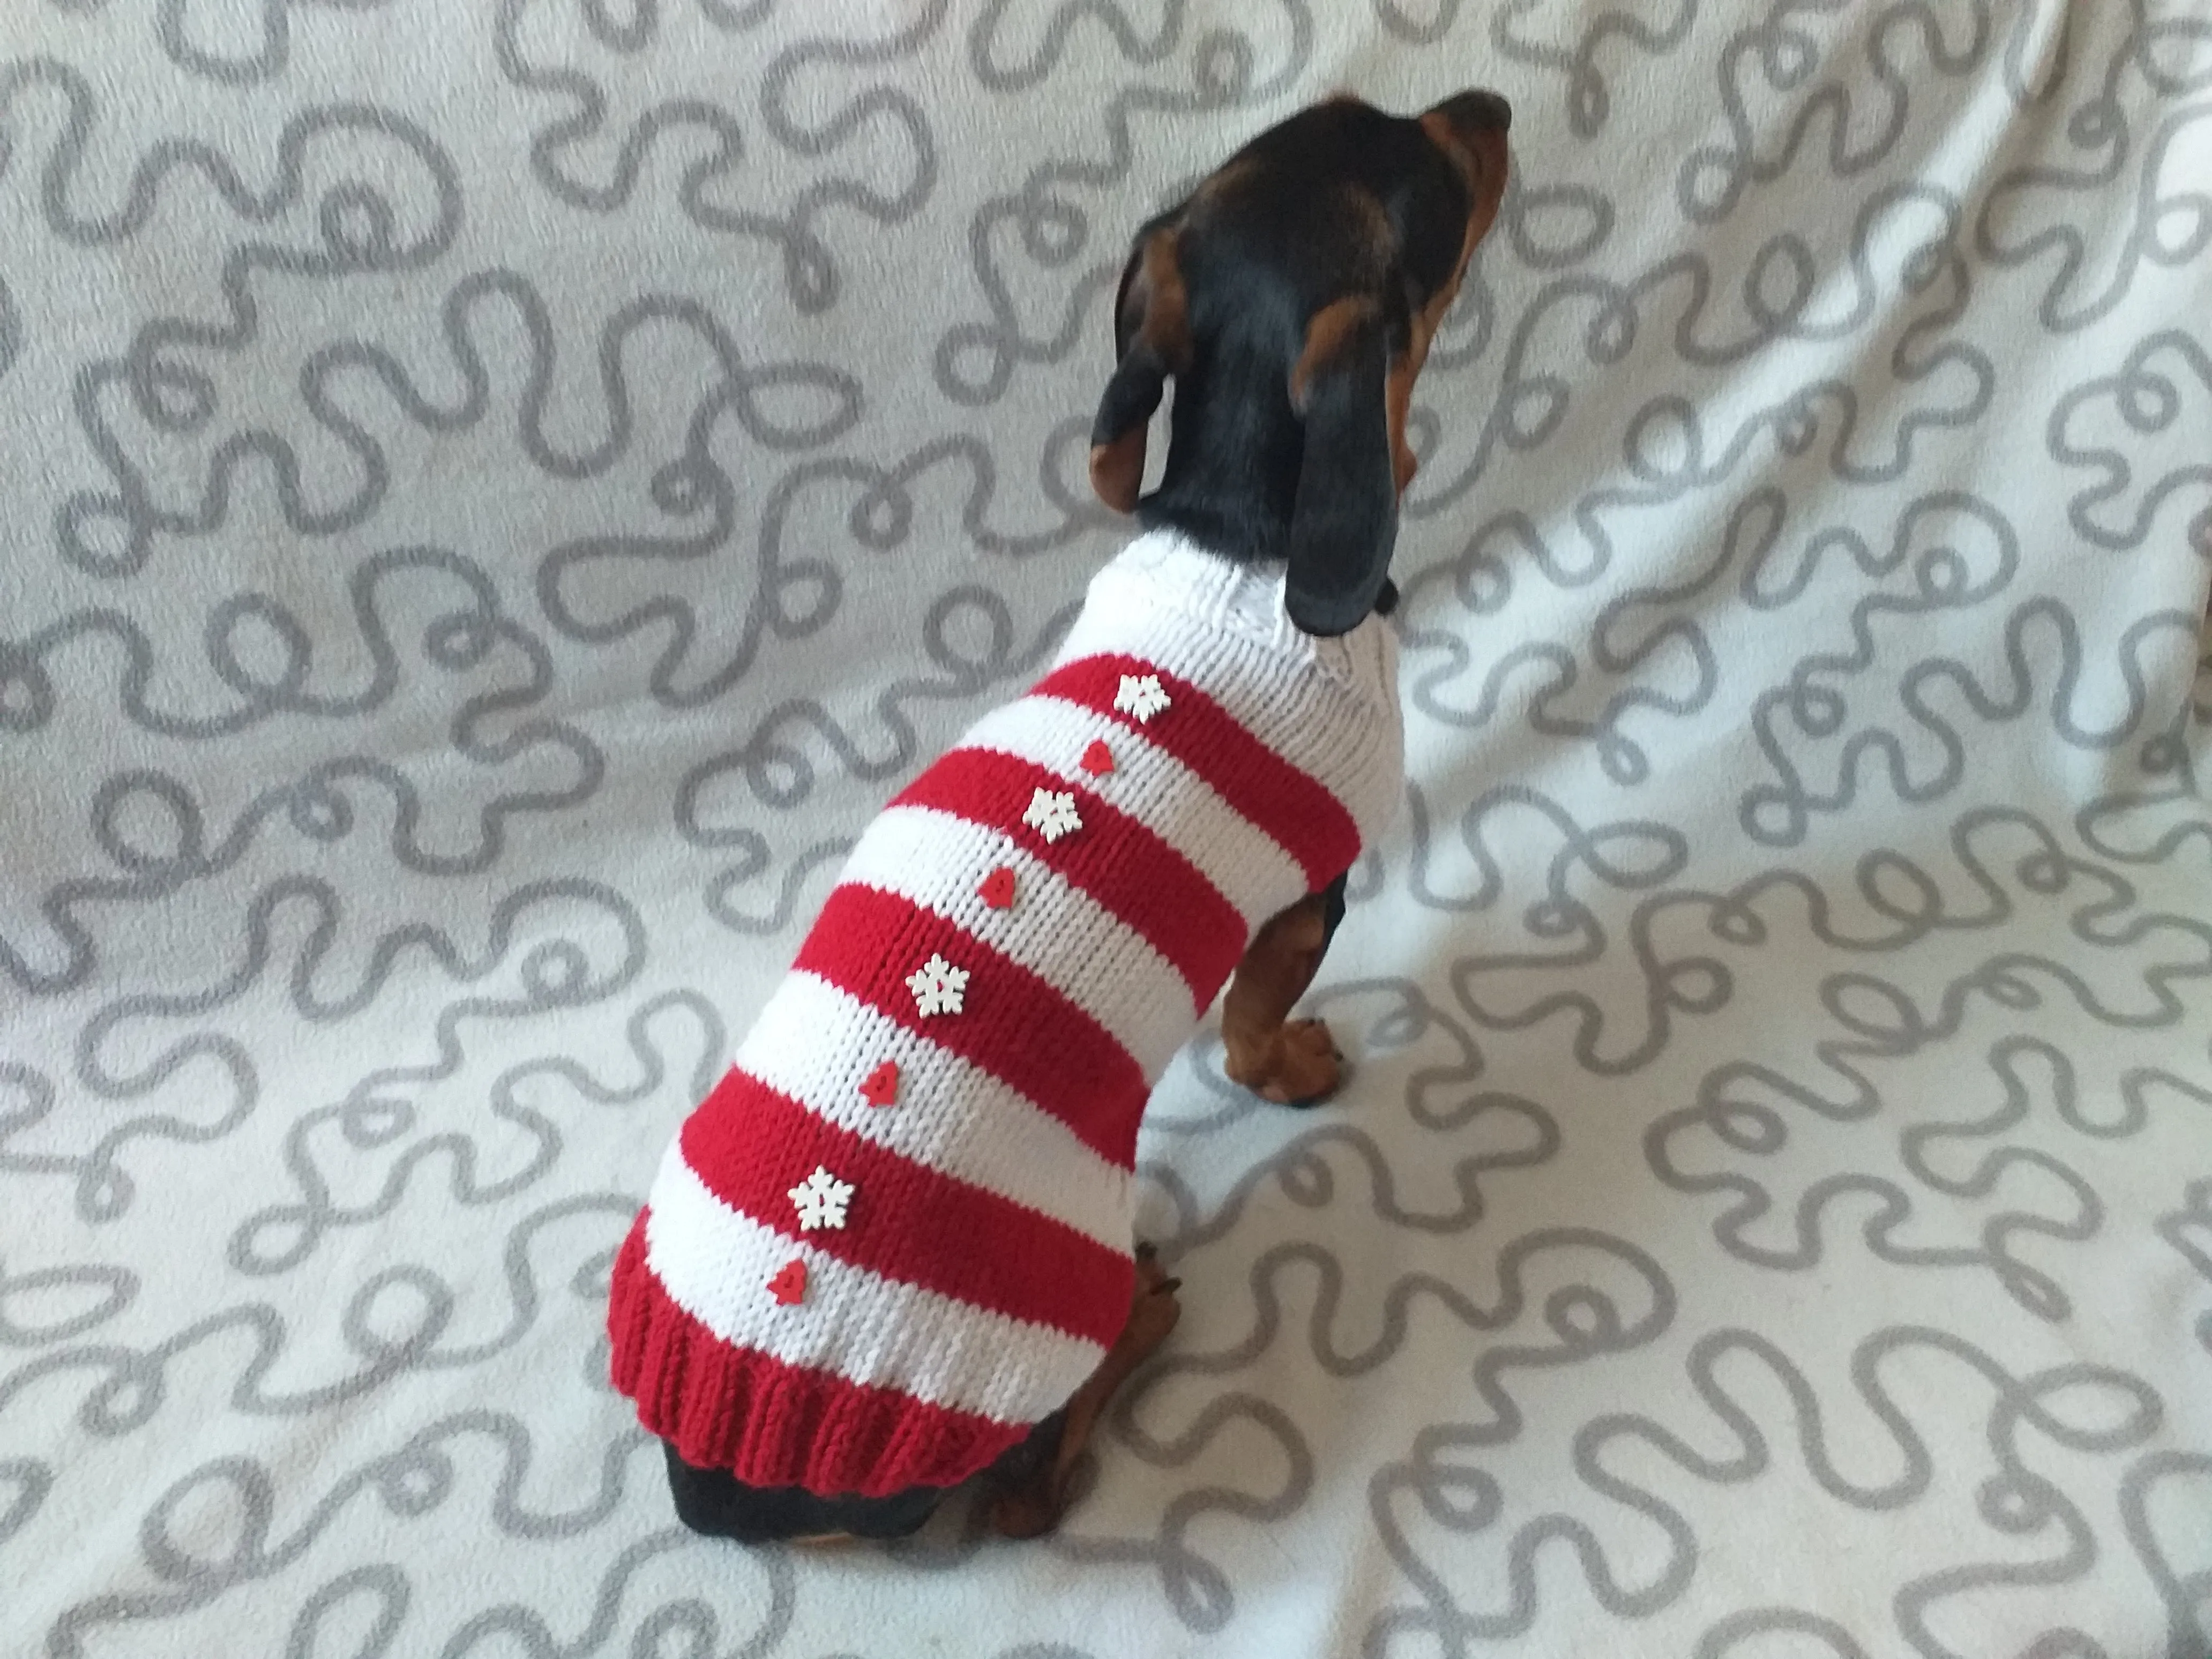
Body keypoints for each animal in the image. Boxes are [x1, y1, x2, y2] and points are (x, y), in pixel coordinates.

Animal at [606, 88, 1504, 1548]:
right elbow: (1253, 1026)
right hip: (1048, 1299)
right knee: (1028, 1495)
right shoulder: (1310, 892)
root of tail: (719, 1477)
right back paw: (1140, 1321)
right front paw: (1291, 1069)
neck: (1237, 542)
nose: (1488, 103)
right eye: (1427, 178)